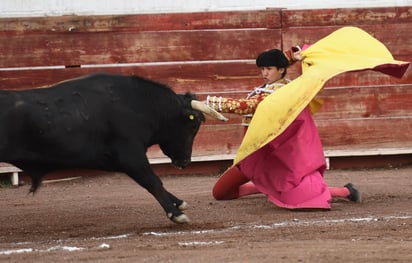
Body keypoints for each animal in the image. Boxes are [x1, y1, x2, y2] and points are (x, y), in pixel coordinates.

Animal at [0, 72, 225, 225]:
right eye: (193, 125)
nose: (184, 162)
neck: (139, 104)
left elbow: (155, 182)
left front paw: (179, 203)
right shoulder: (131, 156)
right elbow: (153, 181)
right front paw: (177, 214)